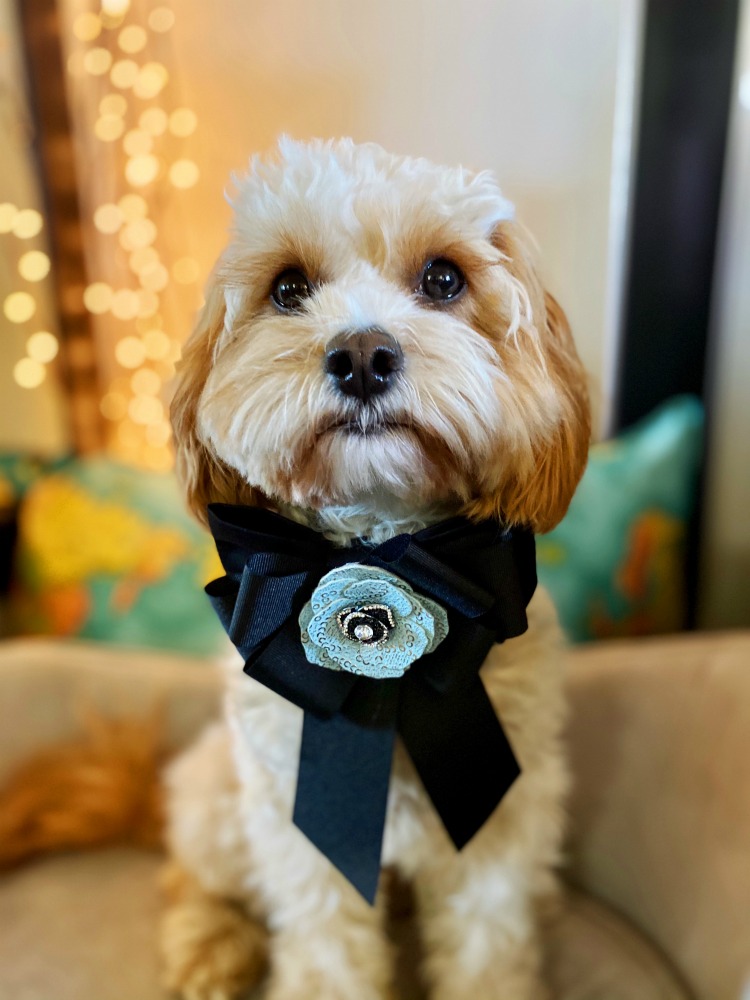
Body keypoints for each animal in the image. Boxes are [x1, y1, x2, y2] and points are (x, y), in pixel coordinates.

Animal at [162, 135, 592, 1000]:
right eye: (288, 288)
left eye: (444, 279)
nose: (362, 354)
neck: (383, 543)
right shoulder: (296, 832)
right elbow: (327, 950)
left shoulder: (499, 824)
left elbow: (488, 945)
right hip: (217, 799)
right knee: (189, 876)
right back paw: (208, 943)